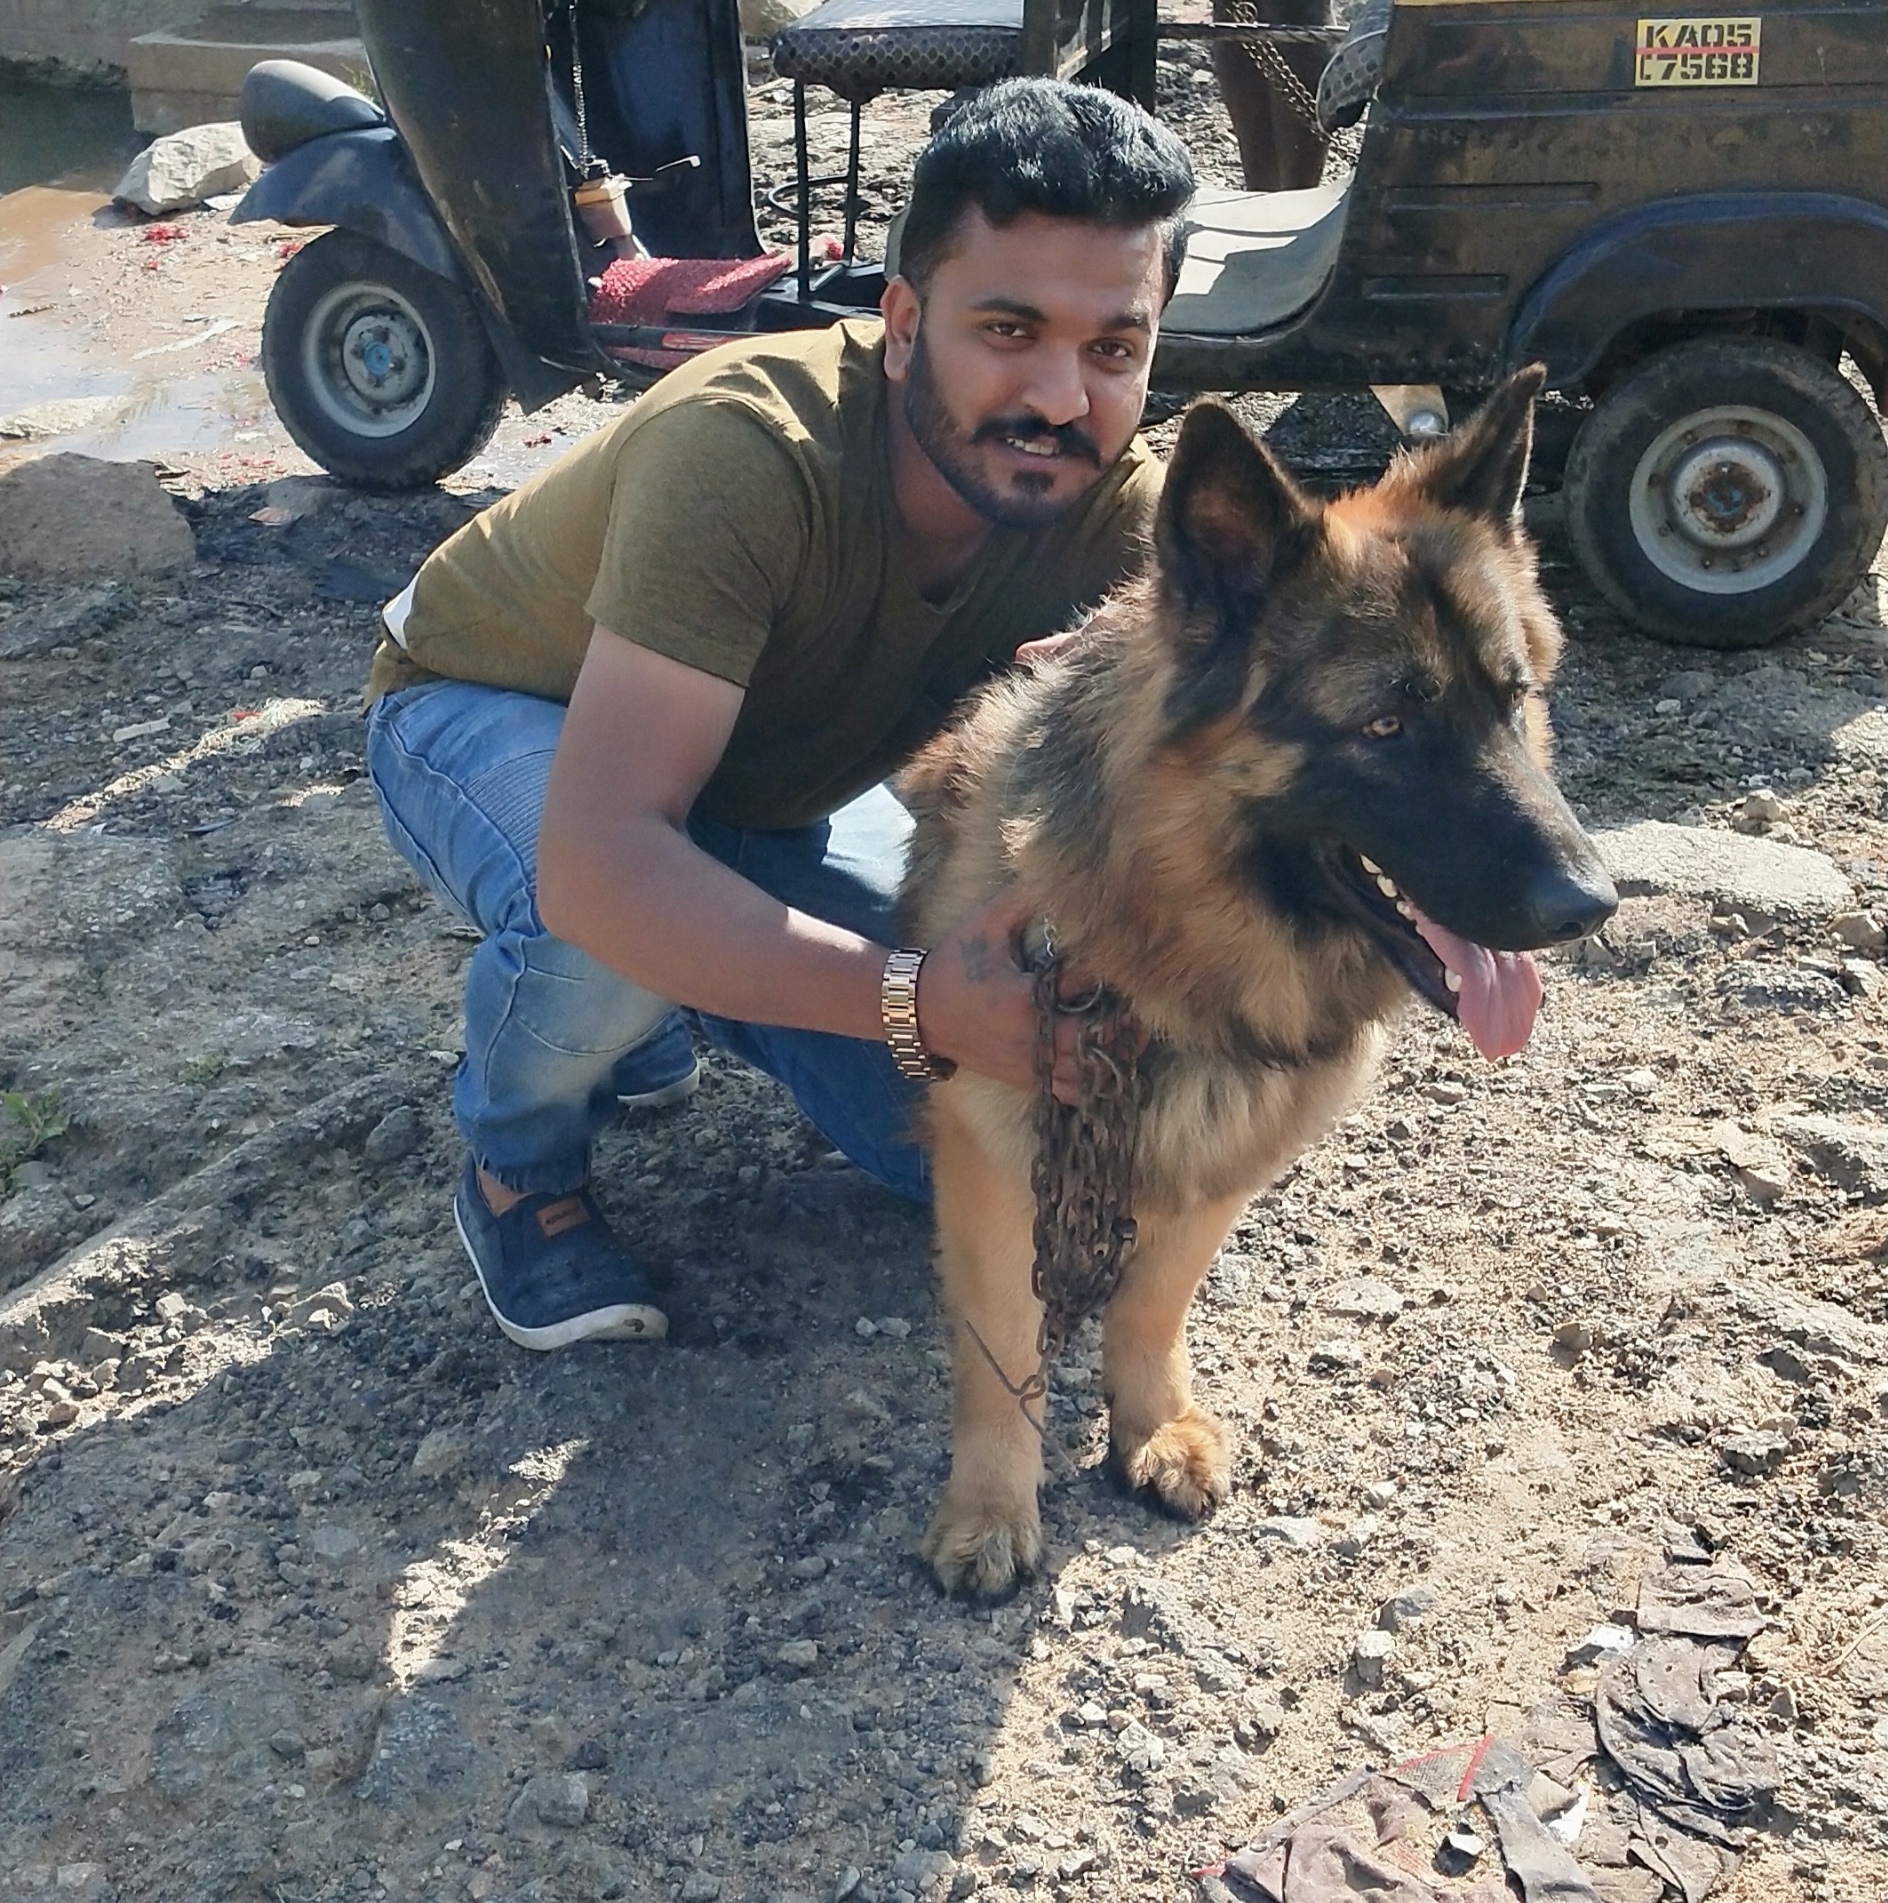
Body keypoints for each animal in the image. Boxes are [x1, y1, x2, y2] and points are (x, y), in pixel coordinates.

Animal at [899, 367, 1619, 1598]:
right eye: (1386, 723)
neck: (1179, 948)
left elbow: (1153, 1302)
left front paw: (1149, 1425)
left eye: (1513, 696)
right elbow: (1003, 1355)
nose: (1592, 903)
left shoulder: (1222, 1154)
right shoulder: (999, 1149)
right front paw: (992, 1507)